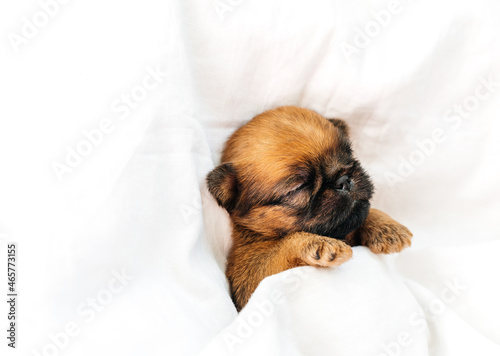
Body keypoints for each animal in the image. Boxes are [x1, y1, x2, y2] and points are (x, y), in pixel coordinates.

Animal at [205, 106, 412, 312]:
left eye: (349, 155)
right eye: (299, 188)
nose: (344, 181)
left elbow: (364, 212)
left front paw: (386, 227)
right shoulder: (249, 280)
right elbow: (284, 245)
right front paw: (317, 243)